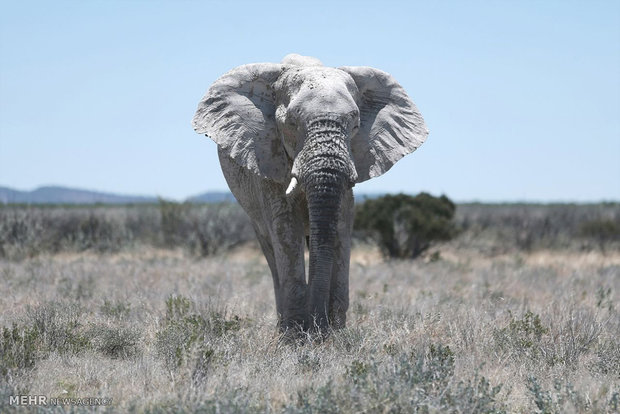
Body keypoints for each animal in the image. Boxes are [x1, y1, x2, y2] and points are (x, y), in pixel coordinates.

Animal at [193, 53, 426, 334]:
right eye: (291, 123)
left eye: (356, 124)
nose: (316, 329)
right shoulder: (268, 158)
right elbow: (285, 229)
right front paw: (296, 337)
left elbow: (340, 227)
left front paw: (333, 335)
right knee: (270, 247)